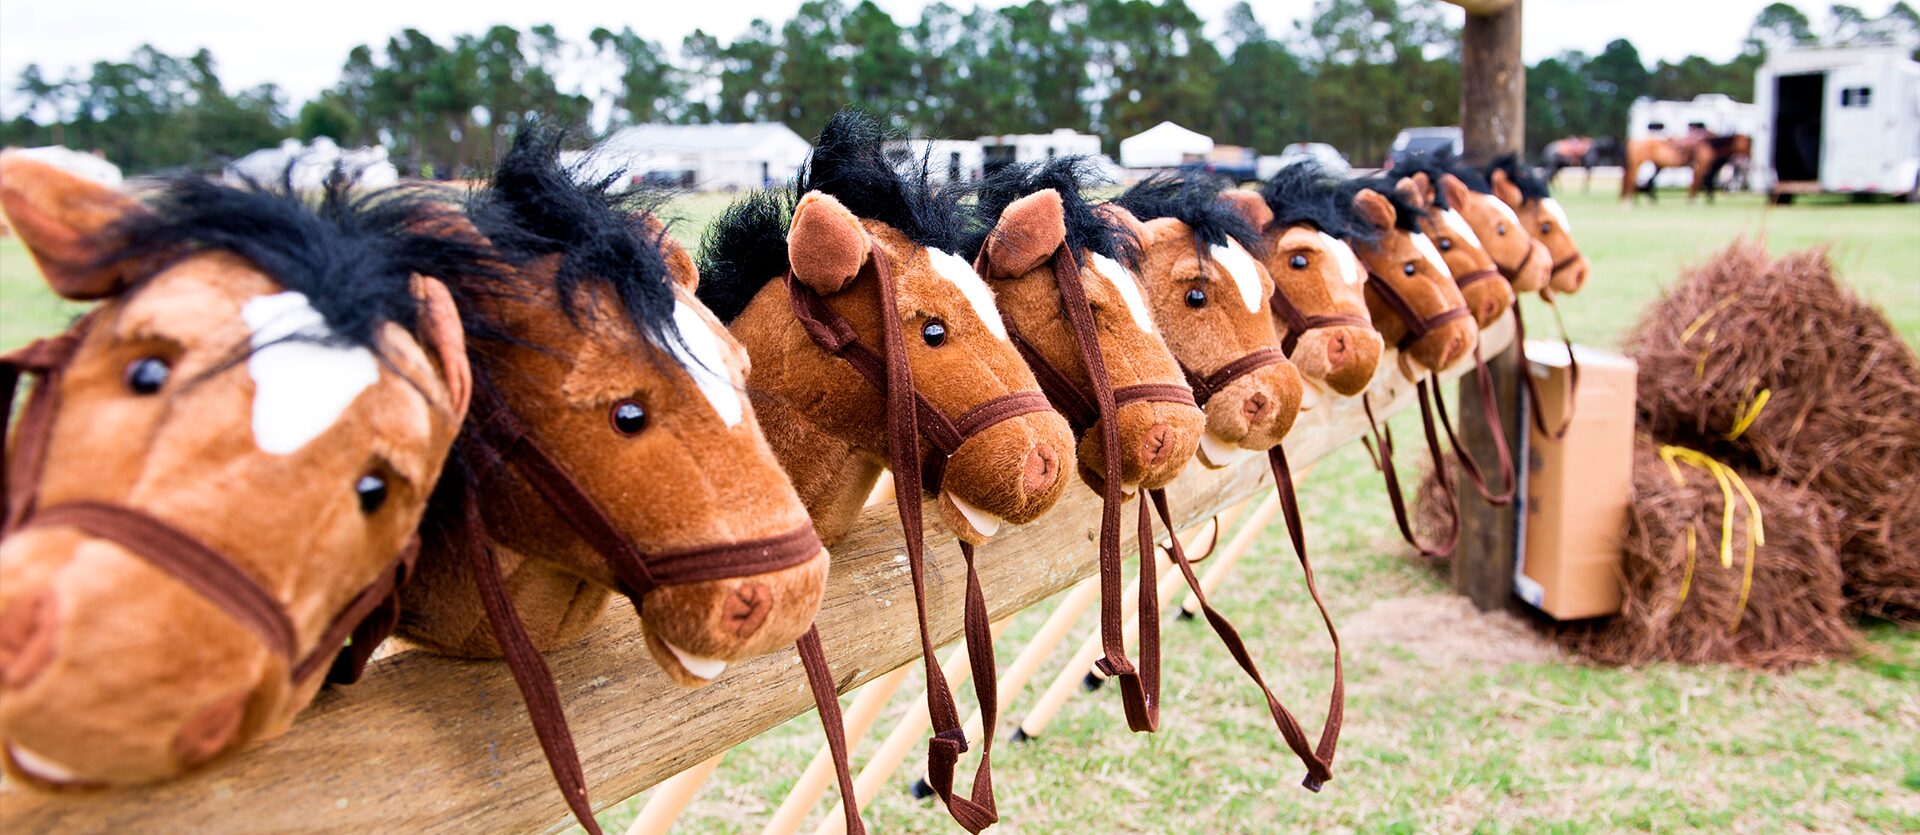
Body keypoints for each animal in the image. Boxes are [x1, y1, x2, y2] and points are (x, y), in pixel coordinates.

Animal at [1621, 133, 1751, 204]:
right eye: (1748, 144)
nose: (1751, 154)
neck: (1710, 146)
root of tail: (1634, 141)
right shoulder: (1700, 166)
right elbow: (1697, 183)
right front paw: (1694, 200)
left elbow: (1702, 183)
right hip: (1637, 164)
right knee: (1632, 180)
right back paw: (1630, 201)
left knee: (1645, 181)